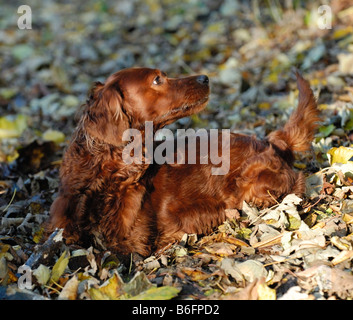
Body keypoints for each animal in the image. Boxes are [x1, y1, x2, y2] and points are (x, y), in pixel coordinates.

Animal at [45, 67, 318, 255]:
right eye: (157, 79)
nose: (205, 78)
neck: (104, 176)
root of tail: (273, 141)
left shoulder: (132, 244)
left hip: (252, 182)